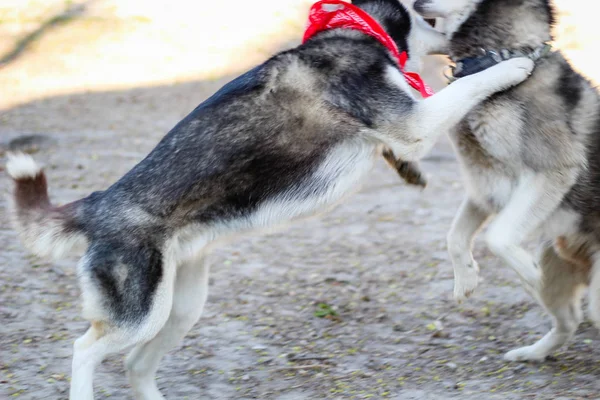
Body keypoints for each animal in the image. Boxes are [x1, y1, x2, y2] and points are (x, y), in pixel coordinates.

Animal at [3, 0, 528, 396]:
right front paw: (514, 64)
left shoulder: (400, 126)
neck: (357, 27)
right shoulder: (415, 121)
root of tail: (96, 204)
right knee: (83, 351)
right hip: (139, 314)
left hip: (178, 310)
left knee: (135, 364)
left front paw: (410, 172)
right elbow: (469, 84)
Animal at [412, 0, 600, 362]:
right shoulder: (483, 185)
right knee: (569, 320)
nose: (414, 3)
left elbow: (497, 237)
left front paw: (527, 271)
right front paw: (466, 278)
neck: (502, 55)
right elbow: (455, 237)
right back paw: (532, 353)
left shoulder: (551, 171)